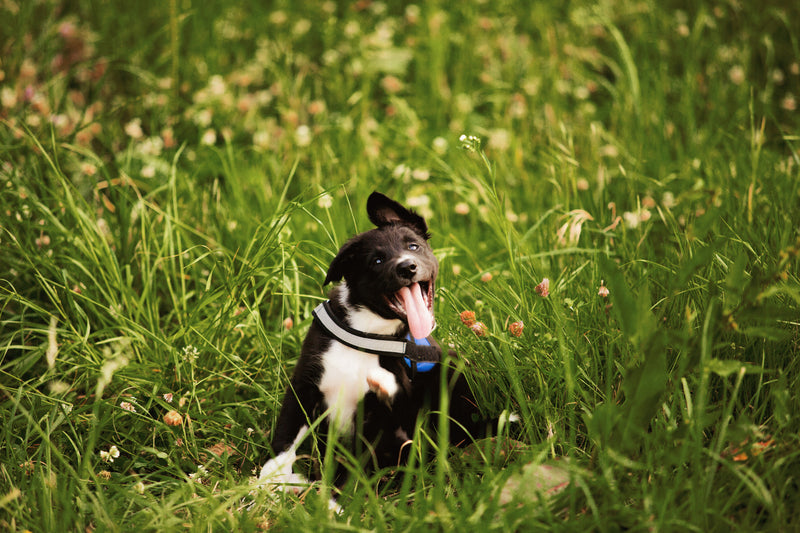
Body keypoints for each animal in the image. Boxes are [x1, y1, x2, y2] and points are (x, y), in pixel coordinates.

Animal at [262, 191, 512, 486]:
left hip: (452, 365)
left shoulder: (379, 417)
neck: (368, 330)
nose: (407, 267)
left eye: (413, 246)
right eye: (377, 261)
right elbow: (285, 437)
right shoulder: (304, 384)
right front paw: (266, 481)